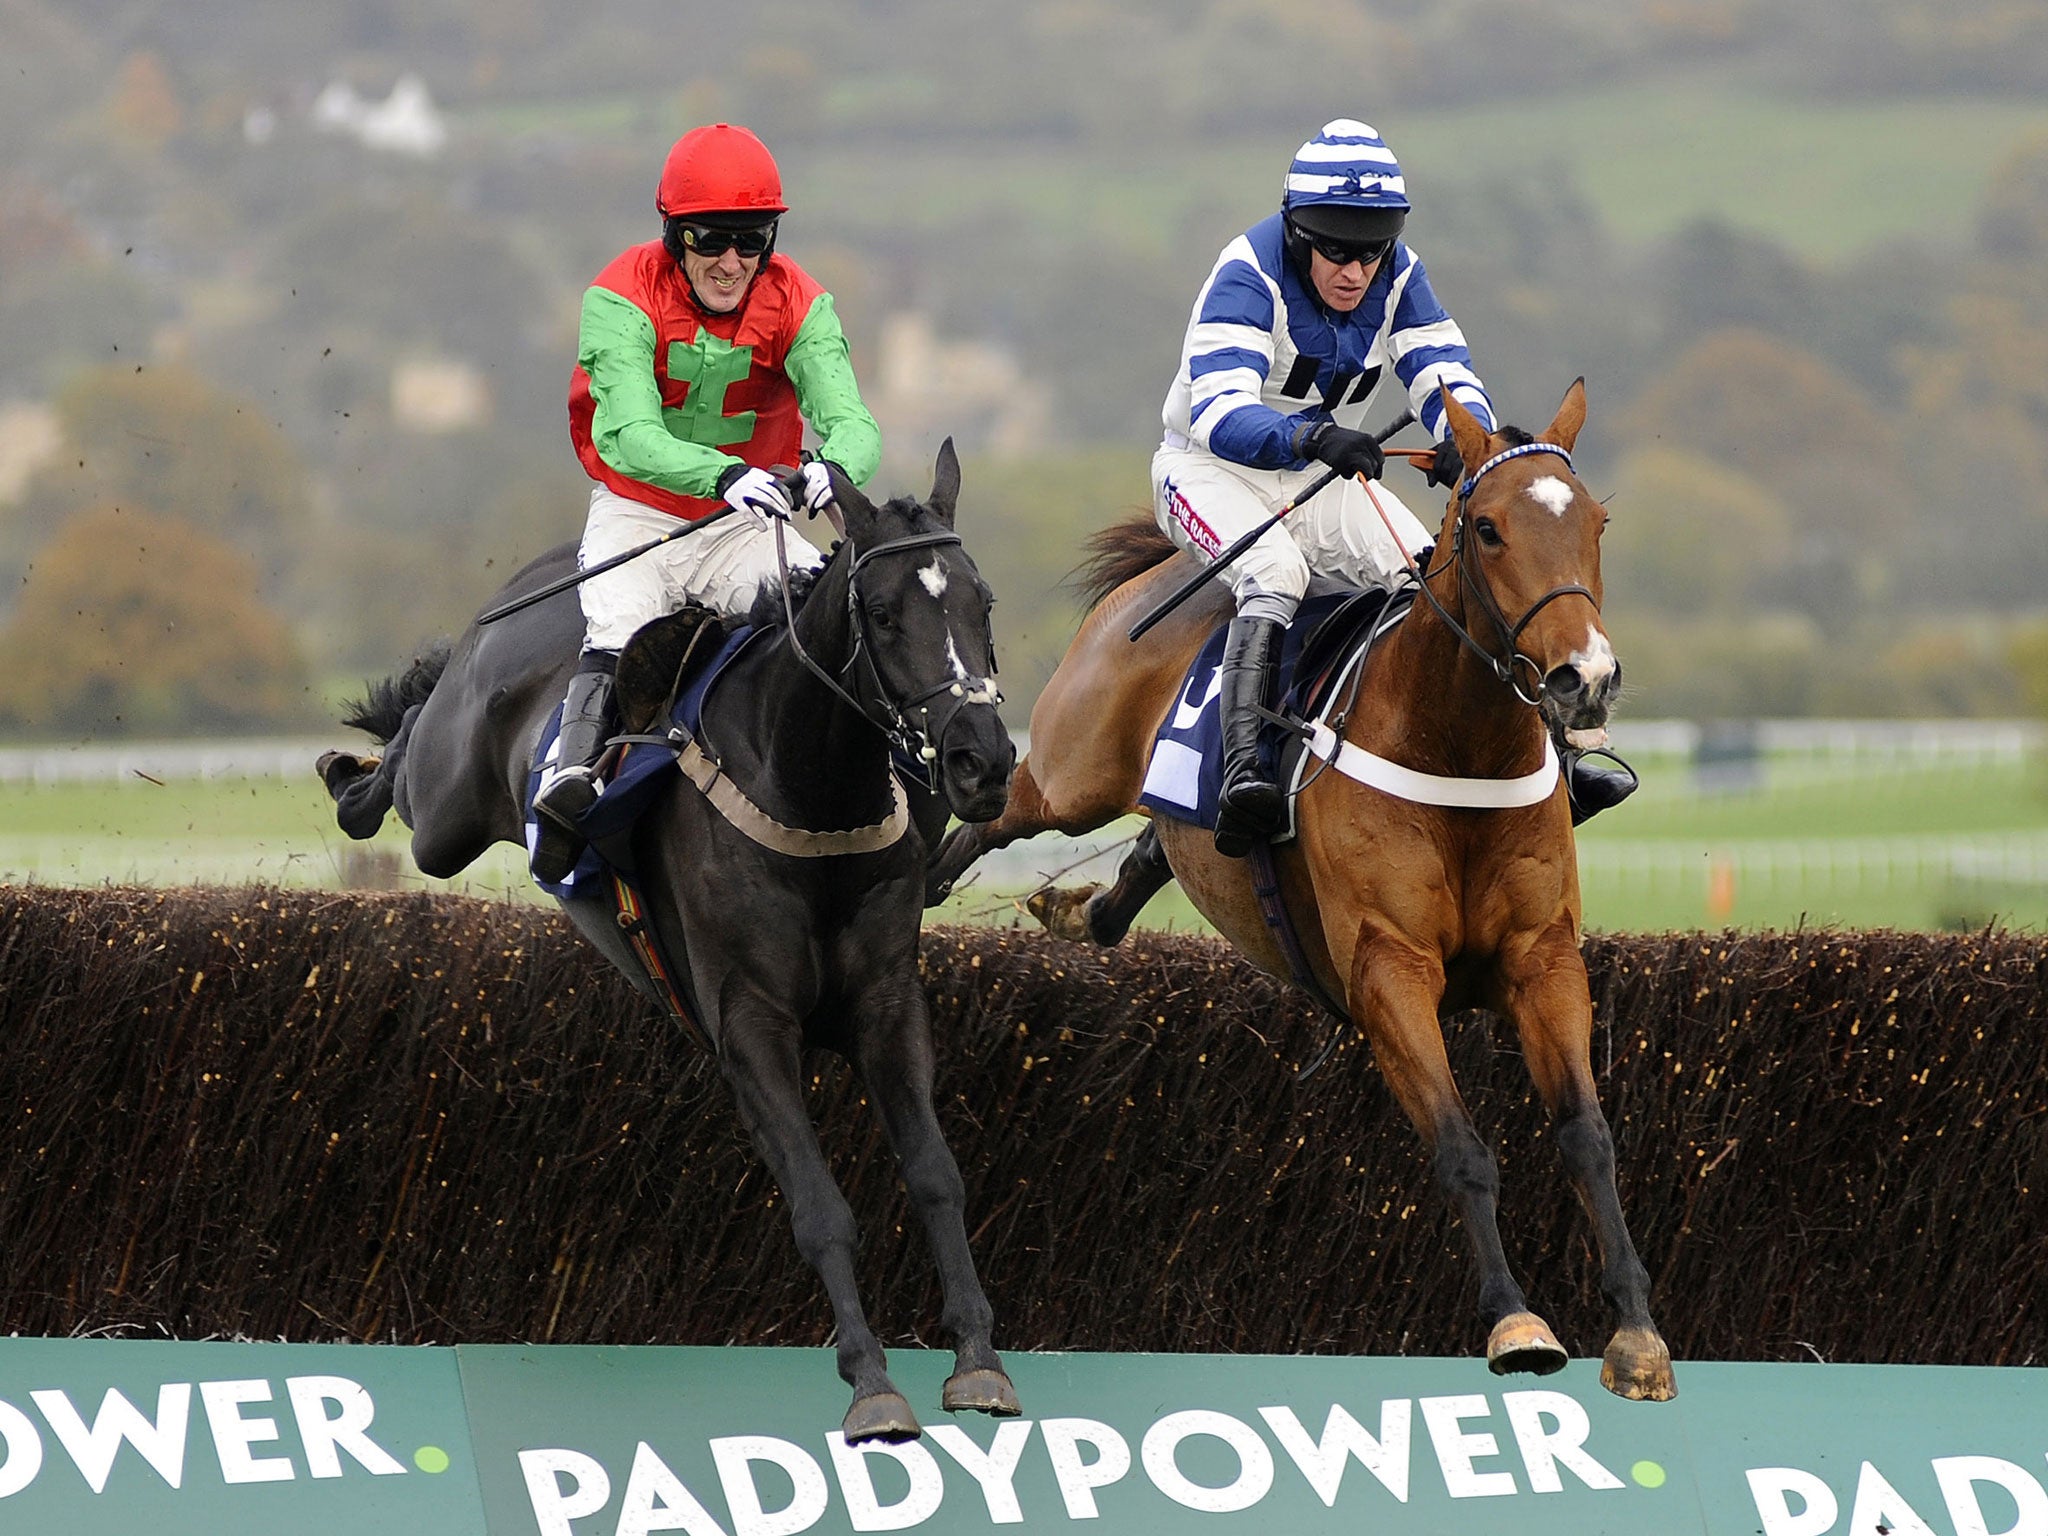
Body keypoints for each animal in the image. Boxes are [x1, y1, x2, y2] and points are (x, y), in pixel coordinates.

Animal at [319, 448, 1024, 1441]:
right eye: (884, 614)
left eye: (981, 602)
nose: (981, 762)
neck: (808, 790)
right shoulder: (749, 1024)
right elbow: (821, 1208)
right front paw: (871, 1382)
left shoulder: (888, 1005)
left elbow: (935, 1175)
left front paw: (978, 1359)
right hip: (446, 813)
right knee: (412, 750)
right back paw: (353, 773)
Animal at [929, 387, 1679, 1409]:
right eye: (1487, 528)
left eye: (1596, 523)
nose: (1584, 679)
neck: (1457, 748)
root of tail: (1167, 569)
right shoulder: (1388, 973)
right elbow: (1461, 1147)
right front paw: (1516, 1322)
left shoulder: (1544, 959)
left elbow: (1588, 1136)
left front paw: (1637, 1333)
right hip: (1070, 773)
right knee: (1000, 809)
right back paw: (924, 869)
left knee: (1151, 851)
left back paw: (1083, 909)